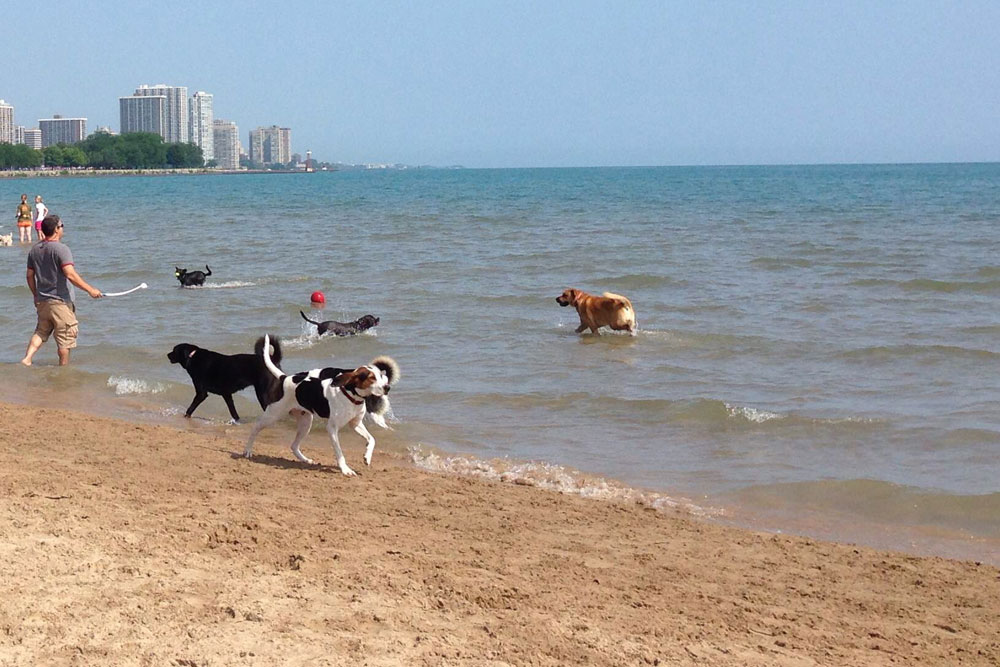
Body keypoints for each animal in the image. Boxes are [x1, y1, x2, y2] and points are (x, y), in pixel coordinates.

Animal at [242, 334, 398, 474]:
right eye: (371, 378)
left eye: (381, 376)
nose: (387, 387)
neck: (351, 396)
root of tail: (285, 378)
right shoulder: (332, 428)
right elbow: (339, 453)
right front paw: (345, 469)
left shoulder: (355, 424)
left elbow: (372, 440)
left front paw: (367, 457)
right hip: (273, 415)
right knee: (255, 428)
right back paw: (247, 450)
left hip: (305, 422)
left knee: (294, 446)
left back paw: (305, 460)